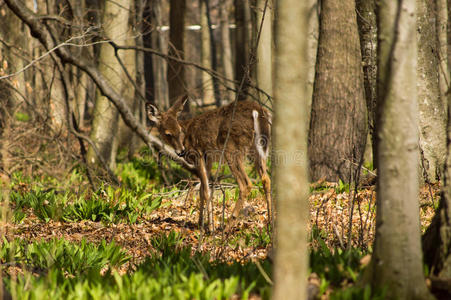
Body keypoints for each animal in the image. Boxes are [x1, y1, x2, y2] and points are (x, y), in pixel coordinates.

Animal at [147, 96, 272, 230]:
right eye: (168, 134)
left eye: (179, 130)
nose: (181, 151)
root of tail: (257, 110)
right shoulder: (209, 158)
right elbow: (202, 190)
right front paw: (201, 223)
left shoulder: (198, 154)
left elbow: (206, 191)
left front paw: (210, 228)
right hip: (256, 147)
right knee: (266, 179)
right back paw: (270, 223)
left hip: (231, 147)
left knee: (246, 184)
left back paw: (226, 227)